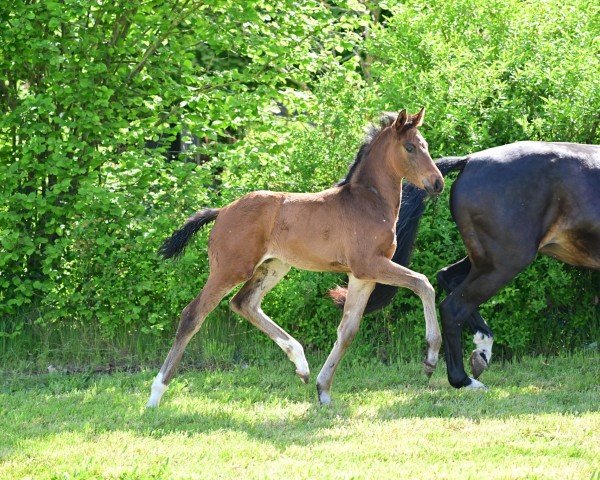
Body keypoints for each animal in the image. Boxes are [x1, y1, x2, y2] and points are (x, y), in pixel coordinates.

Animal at [147, 108, 442, 404]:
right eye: (410, 147)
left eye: (426, 145)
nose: (437, 183)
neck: (367, 202)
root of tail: (222, 211)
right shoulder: (370, 264)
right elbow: (423, 283)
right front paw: (430, 359)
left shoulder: (362, 276)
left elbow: (347, 331)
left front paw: (323, 391)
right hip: (230, 269)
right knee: (192, 315)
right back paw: (155, 395)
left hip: (274, 266)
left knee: (244, 303)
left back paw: (301, 365)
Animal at [330, 141, 596, 388]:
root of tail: (470, 160)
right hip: (506, 261)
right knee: (453, 307)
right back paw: (463, 379)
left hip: (486, 259)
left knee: (447, 276)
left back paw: (482, 349)